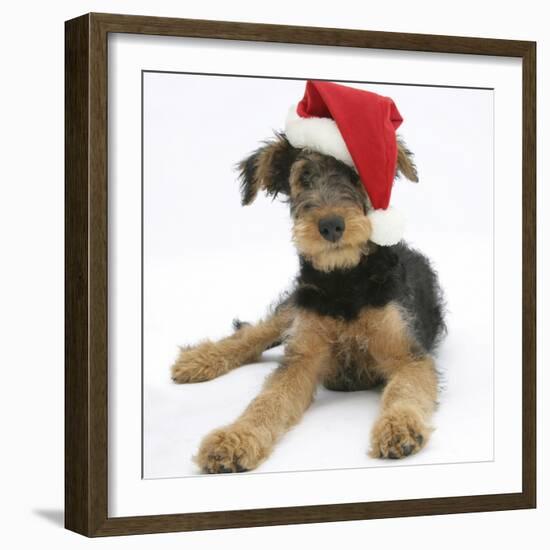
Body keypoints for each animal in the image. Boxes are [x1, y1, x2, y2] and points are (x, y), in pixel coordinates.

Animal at [170, 81, 446, 474]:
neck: (346, 281)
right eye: (303, 178)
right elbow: (269, 399)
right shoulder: (303, 357)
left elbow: (404, 392)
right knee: (254, 333)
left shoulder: (408, 354)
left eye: (355, 176)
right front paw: (234, 439)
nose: (331, 226)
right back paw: (196, 361)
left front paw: (399, 429)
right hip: (293, 309)